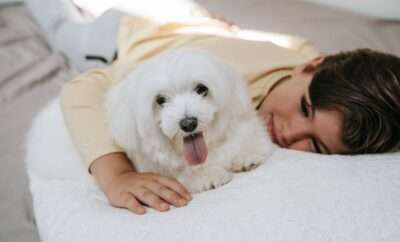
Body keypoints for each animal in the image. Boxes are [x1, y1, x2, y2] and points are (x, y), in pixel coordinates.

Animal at [106, 47, 276, 193]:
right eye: (160, 100)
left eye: (201, 89)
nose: (188, 124)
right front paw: (207, 176)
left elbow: (248, 139)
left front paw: (246, 155)